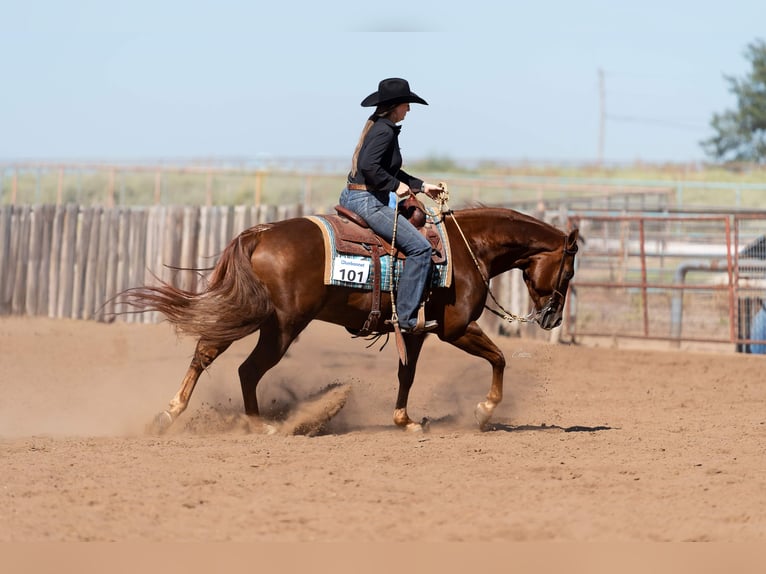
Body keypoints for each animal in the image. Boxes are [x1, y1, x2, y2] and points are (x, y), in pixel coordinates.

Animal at [121, 202, 579, 433]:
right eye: (570, 272)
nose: (552, 319)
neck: (468, 250)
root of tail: (260, 234)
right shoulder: (456, 329)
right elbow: (499, 358)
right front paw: (484, 411)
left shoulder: (415, 330)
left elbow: (407, 374)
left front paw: (404, 420)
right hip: (282, 326)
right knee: (247, 369)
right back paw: (260, 425)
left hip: (254, 315)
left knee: (207, 351)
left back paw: (170, 413)